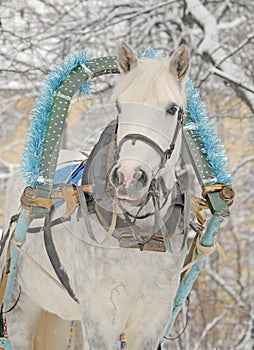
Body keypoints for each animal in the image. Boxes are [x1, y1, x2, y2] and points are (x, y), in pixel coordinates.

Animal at [1, 42, 189, 348]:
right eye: (120, 106)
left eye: (173, 109)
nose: (129, 177)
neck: (139, 237)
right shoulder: (100, 318)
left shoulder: (152, 320)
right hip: (20, 308)